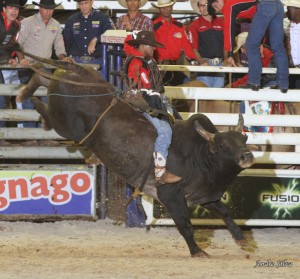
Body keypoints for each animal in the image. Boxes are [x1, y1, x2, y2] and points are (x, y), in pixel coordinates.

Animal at [17, 55, 255, 260]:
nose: (247, 156)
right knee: (46, 106)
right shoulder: (171, 195)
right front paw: (197, 251)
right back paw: (31, 100)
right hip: (66, 124)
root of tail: (79, 71)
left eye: (244, 138)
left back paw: (26, 90)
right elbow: (185, 224)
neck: (200, 156)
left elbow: (225, 214)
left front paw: (242, 240)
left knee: (45, 76)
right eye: (223, 144)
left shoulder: (204, 197)